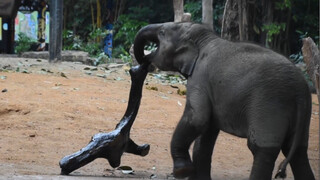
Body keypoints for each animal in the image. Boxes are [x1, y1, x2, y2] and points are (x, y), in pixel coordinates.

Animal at [132, 22, 316, 180]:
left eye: (162, 33)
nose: (142, 66)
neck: (204, 39)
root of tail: (300, 90)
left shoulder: (199, 78)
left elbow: (198, 119)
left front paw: (182, 171)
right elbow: (207, 133)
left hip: (269, 104)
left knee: (262, 148)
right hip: (302, 114)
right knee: (298, 151)